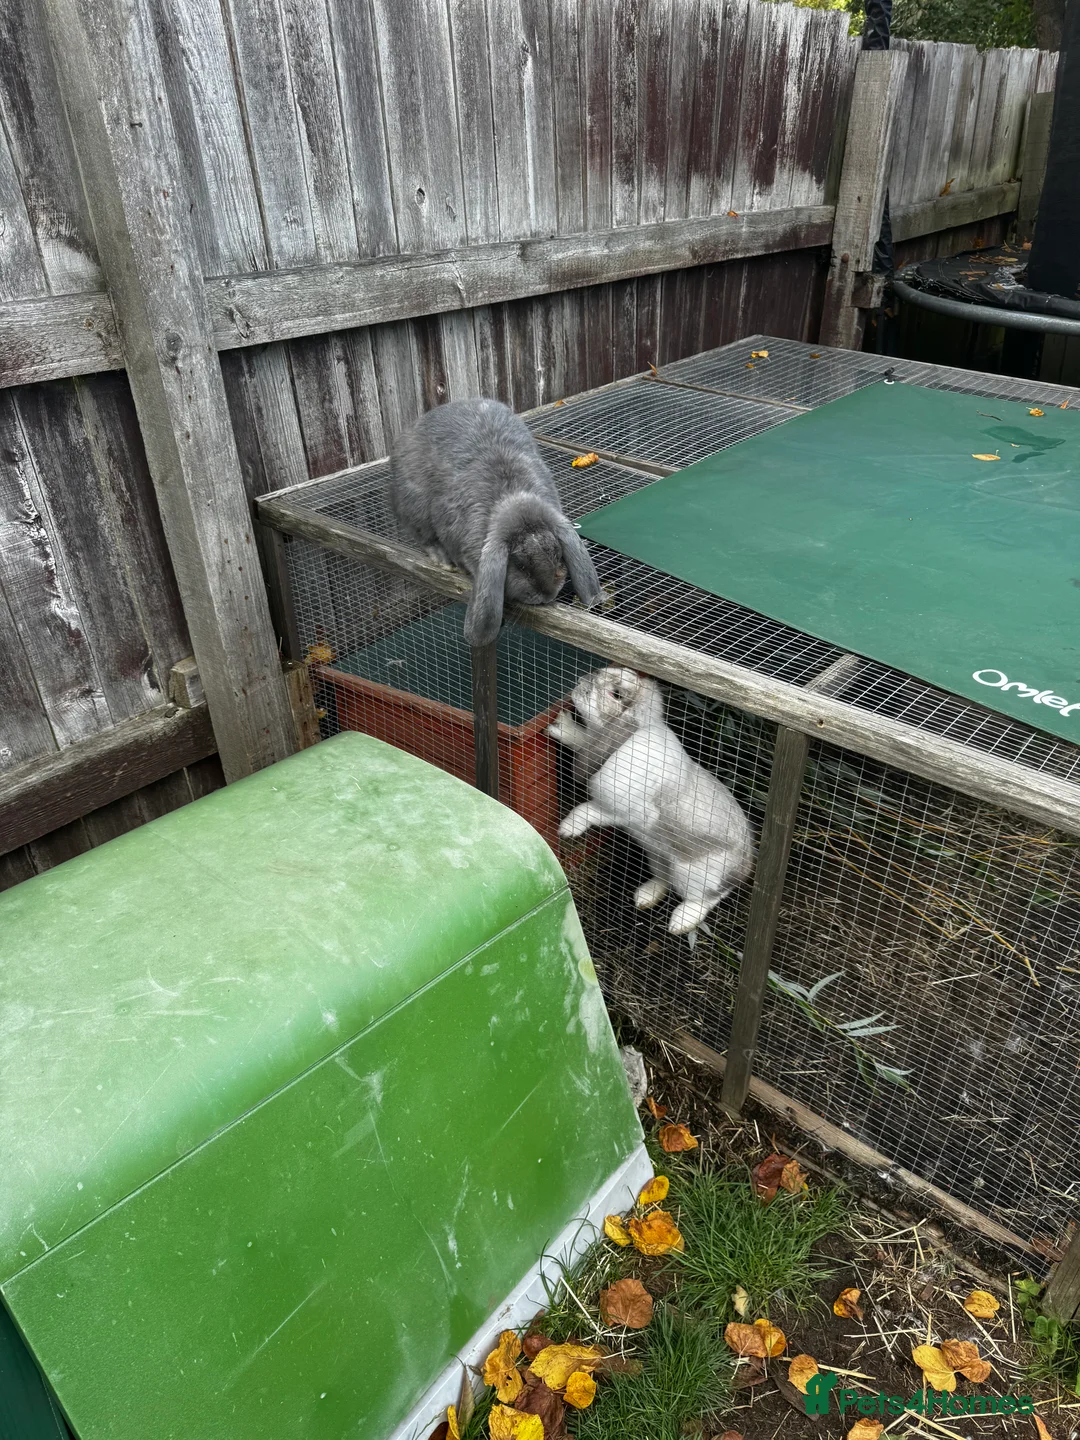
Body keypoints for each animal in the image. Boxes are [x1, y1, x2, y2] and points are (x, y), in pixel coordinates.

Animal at [388, 397, 601, 646]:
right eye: (520, 566)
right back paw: (443, 560)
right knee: (424, 536)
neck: (515, 503)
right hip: (414, 504)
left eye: (559, 556)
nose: (547, 595)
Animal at [547, 667, 755, 936]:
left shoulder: (621, 812)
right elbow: (582, 740)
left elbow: (587, 810)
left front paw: (567, 829)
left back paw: (681, 922)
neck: (624, 742)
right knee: (663, 879)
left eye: (616, 693)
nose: (582, 680)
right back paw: (645, 897)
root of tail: (745, 867)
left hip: (692, 875)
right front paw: (562, 728)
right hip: (656, 855)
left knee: (708, 898)